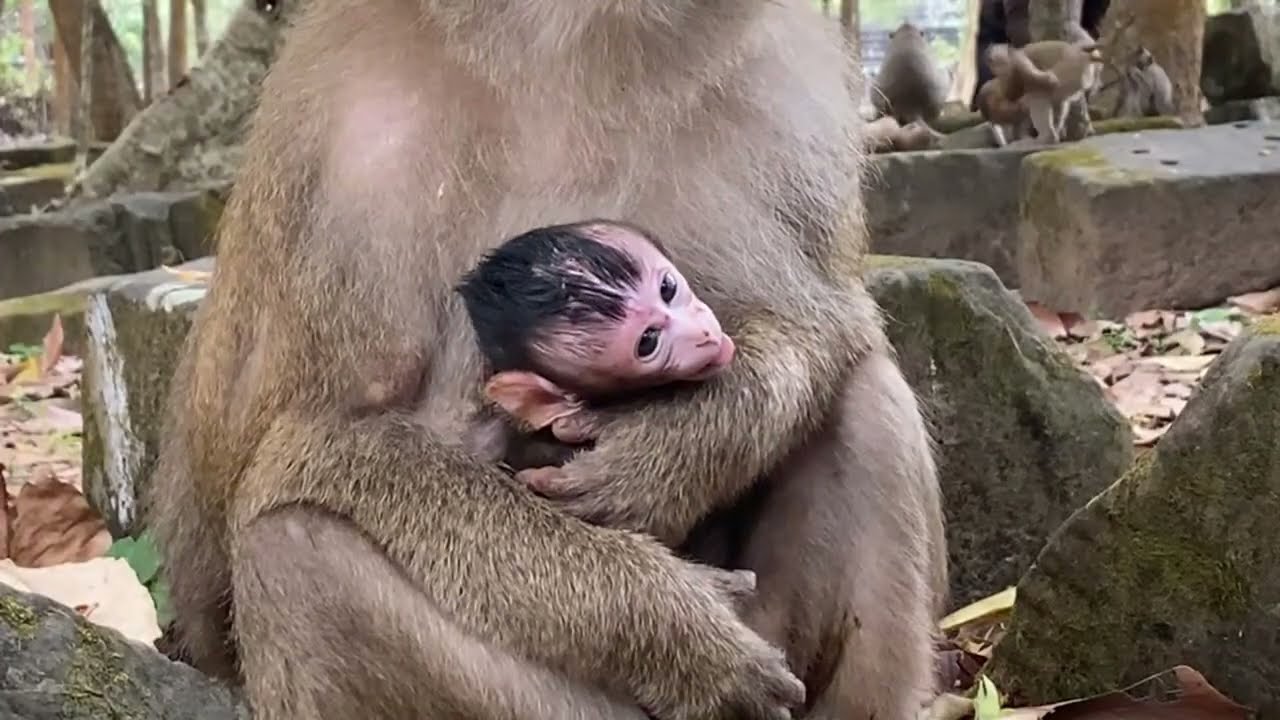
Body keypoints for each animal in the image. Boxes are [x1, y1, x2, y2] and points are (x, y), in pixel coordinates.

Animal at [147, 2, 949, 720]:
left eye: (669, 290)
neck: (575, 43)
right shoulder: (352, 140)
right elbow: (300, 448)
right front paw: (664, 620)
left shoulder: (781, 93)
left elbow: (830, 323)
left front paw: (675, 449)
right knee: (293, 556)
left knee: (866, 398)